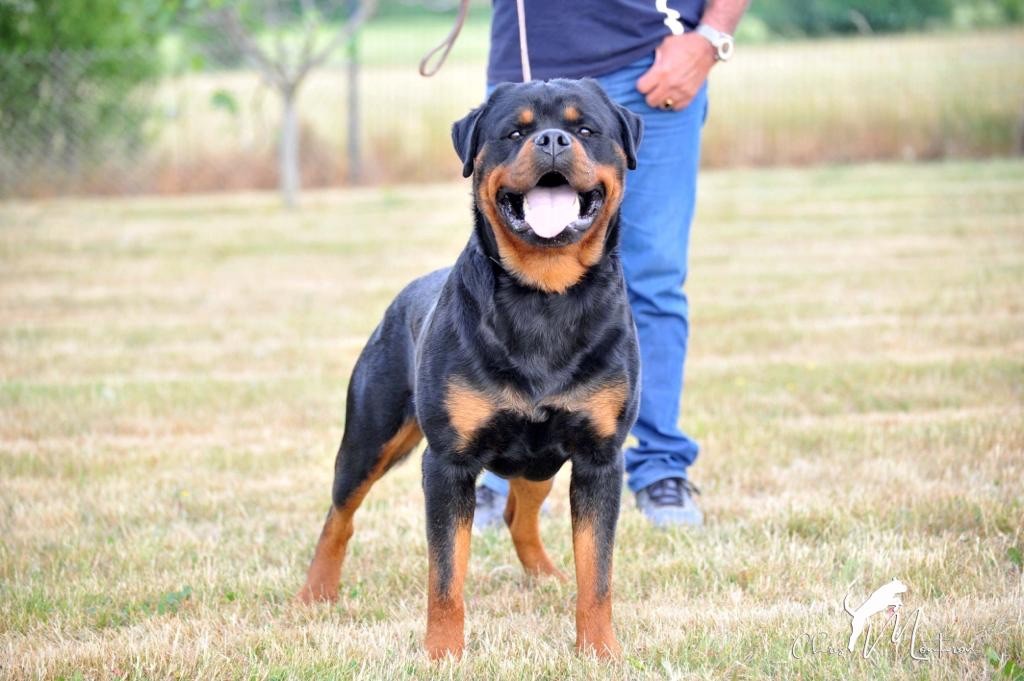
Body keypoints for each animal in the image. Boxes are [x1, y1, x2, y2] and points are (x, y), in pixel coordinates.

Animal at [296, 78, 643, 659]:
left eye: (585, 128)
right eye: (515, 133)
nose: (552, 139)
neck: (543, 295)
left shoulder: (599, 457)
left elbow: (597, 572)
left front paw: (599, 650)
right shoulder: (448, 463)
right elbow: (444, 577)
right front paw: (442, 653)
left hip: (540, 460)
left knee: (519, 514)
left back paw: (547, 576)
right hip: (371, 436)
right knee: (339, 515)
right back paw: (315, 592)